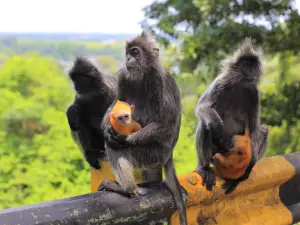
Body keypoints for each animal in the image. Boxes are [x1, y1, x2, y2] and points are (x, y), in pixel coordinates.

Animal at [98, 31, 188, 225]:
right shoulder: (124, 76)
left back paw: (128, 190)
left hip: (151, 154)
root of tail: (167, 155)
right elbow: (115, 103)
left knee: (116, 147)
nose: (128, 58)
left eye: (135, 52)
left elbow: (166, 124)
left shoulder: (160, 81)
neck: (143, 75)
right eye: (128, 52)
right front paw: (106, 129)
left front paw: (124, 138)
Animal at [195, 38, 270, 193]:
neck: (240, 85)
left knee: (265, 130)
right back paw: (205, 168)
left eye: (254, 67)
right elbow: (202, 107)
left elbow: (254, 129)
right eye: (246, 65)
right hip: (217, 151)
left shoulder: (254, 93)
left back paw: (236, 178)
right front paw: (216, 124)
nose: (251, 72)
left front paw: (251, 163)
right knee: (205, 124)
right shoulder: (221, 81)